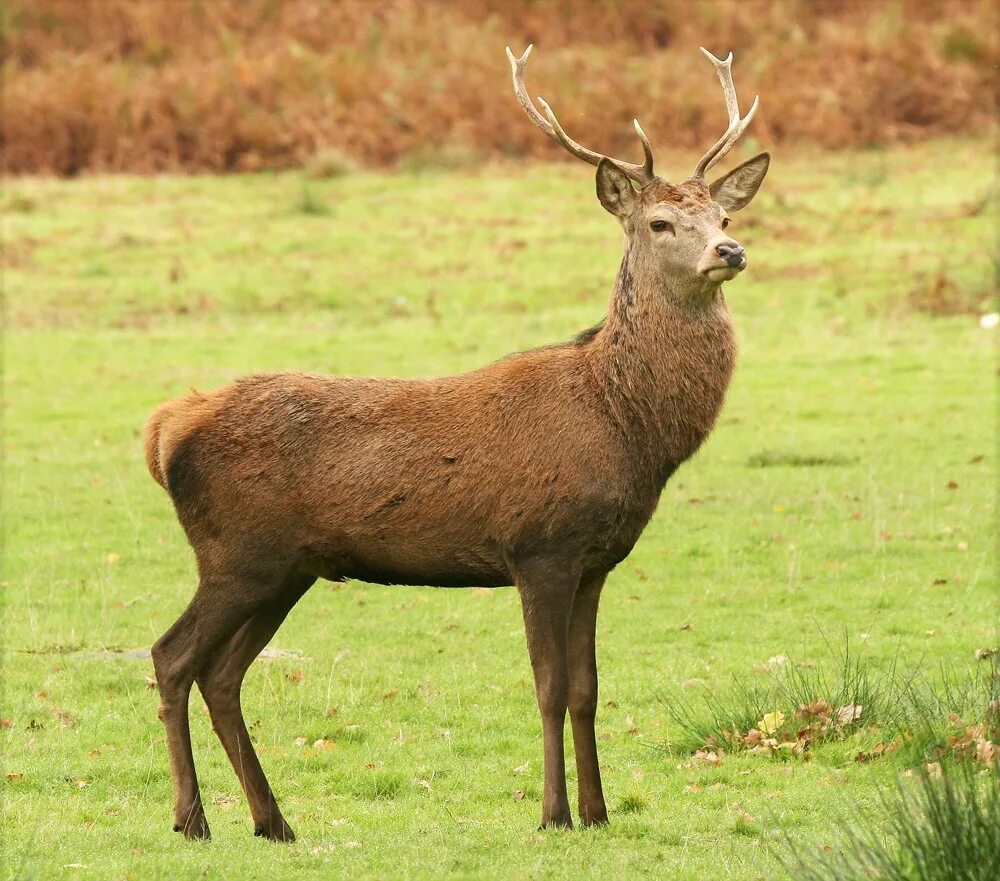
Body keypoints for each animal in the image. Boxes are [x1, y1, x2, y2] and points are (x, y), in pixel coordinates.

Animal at [143, 46, 764, 840]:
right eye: (659, 222)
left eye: (722, 212)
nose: (730, 249)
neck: (623, 424)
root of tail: (166, 427)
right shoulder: (539, 545)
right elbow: (549, 686)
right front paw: (553, 814)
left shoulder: (596, 560)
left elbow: (589, 688)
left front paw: (596, 812)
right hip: (236, 553)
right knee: (172, 656)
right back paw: (192, 818)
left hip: (287, 567)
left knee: (222, 674)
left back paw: (272, 820)